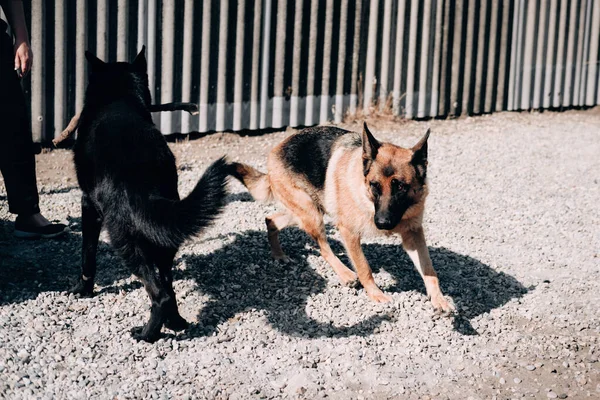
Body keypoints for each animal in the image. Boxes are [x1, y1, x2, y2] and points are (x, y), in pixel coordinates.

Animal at [71, 47, 230, 340]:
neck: (118, 96)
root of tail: (142, 172)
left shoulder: (88, 205)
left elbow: (88, 253)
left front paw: (83, 289)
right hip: (164, 233)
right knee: (168, 285)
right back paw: (176, 322)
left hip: (126, 240)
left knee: (160, 294)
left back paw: (147, 334)